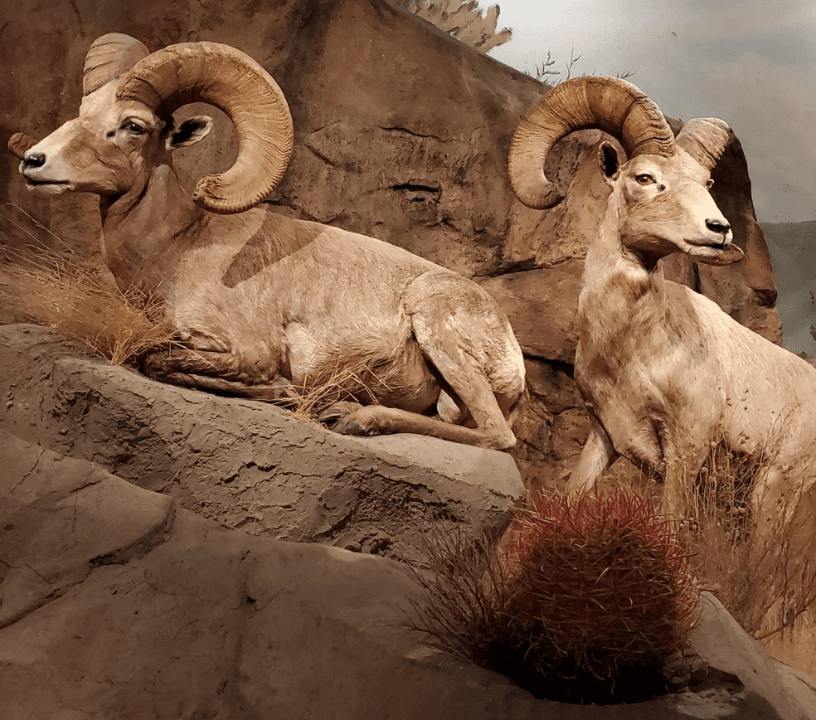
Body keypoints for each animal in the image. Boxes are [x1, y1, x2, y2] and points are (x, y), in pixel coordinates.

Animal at [11, 35, 524, 450]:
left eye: (133, 126)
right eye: (82, 114)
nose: (34, 161)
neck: (181, 246)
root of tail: (512, 355)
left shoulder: (247, 350)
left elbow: (153, 359)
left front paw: (283, 391)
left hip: (435, 324)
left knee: (497, 435)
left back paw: (355, 418)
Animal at [506, 79, 816, 524]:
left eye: (706, 184)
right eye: (645, 177)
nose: (719, 229)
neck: (632, 353)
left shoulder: (685, 453)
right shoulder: (604, 438)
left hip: (771, 500)